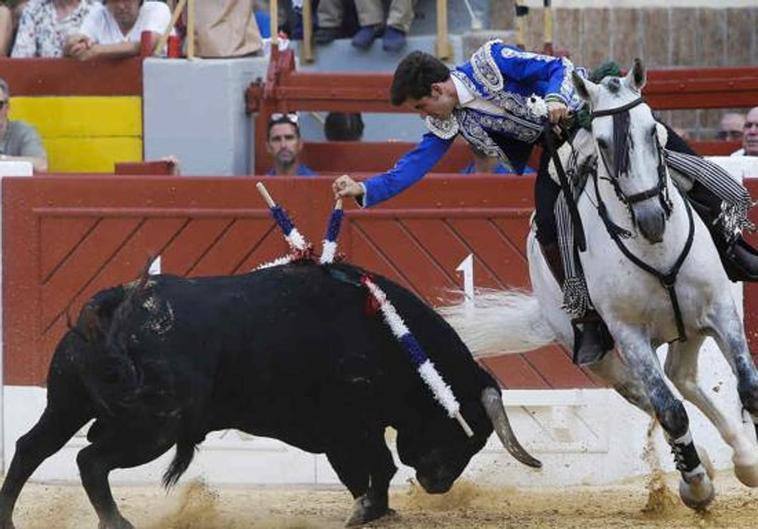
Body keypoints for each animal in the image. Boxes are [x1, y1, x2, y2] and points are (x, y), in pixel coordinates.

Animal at [0, 262, 540, 524]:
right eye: (470, 435)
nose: (438, 484)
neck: (386, 336)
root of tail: (115, 302)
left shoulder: (345, 434)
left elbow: (369, 473)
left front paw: (376, 511)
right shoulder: (348, 429)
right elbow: (376, 468)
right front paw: (367, 512)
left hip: (67, 404)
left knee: (31, 448)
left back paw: (9, 517)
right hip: (151, 428)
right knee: (89, 460)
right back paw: (118, 523)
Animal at [442, 59, 756, 510]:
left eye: (651, 130)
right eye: (605, 144)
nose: (651, 218)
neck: (655, 248)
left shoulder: (720, 311)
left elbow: (749, 386)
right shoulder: (629, 336)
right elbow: (670, 410)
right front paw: (696, 485)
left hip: (689, 328)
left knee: (682, 378)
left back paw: (744, 460)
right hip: (603, 356)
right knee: (655, 394)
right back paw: (705, 468)